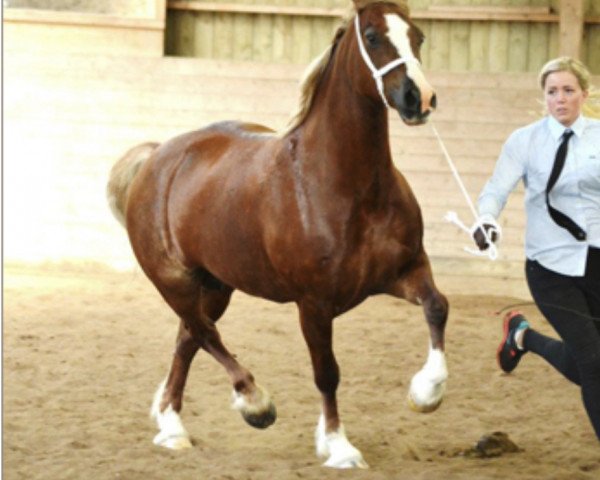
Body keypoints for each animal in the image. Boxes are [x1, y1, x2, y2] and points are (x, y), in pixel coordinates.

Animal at [106, 0, 446, 466]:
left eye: (419, 36)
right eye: (373, 36)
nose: (420, 99)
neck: (346, 187)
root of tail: (157, 157)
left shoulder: (405, 271)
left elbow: (437, 307)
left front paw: (426, 392)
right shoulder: (314, 303)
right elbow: (327, 373)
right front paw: (338, 446)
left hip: (215, 286)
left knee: (187, 339)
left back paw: (172, 423)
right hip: (173, 281)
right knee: (204, 334)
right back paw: (253, 404)